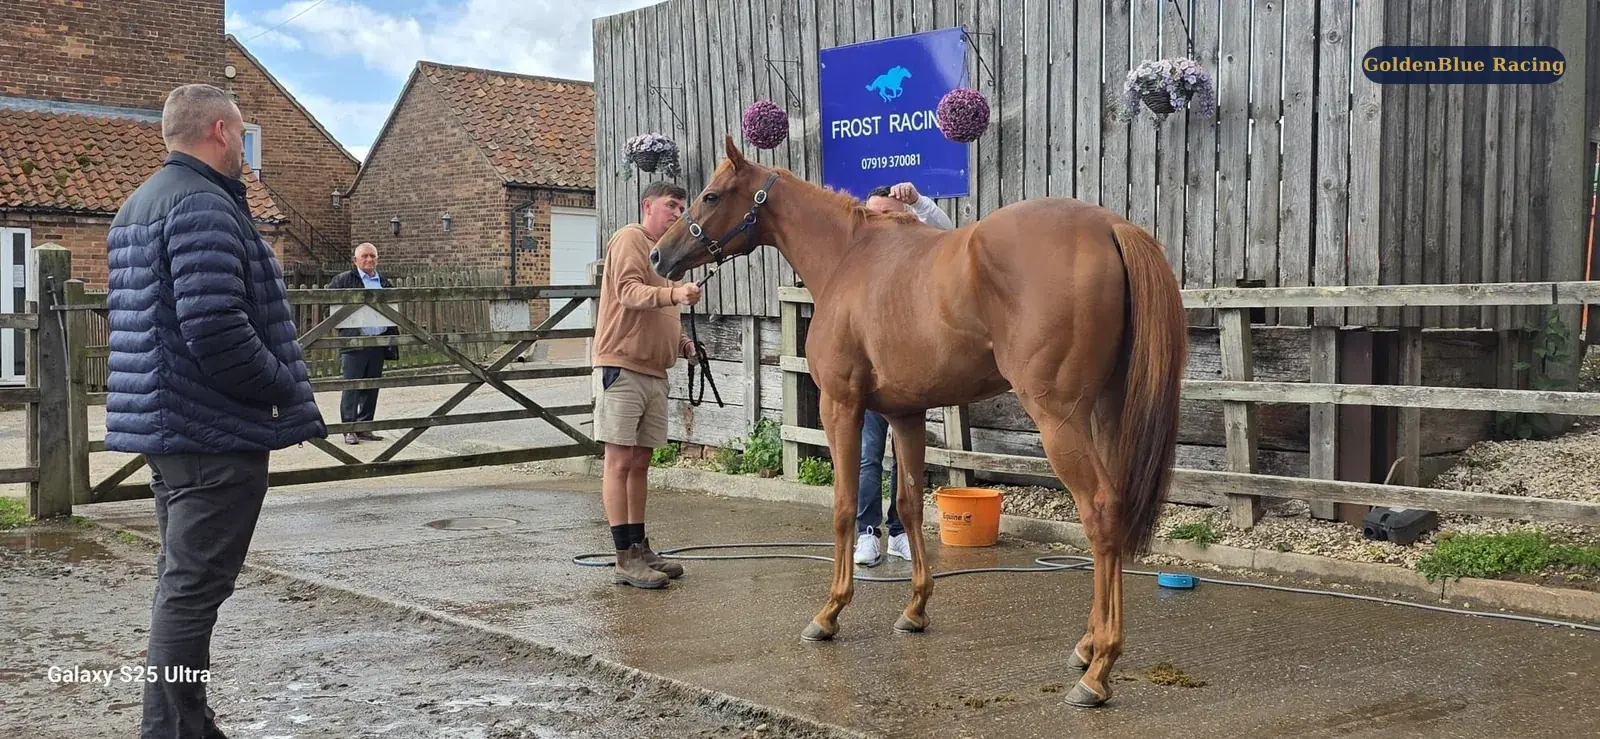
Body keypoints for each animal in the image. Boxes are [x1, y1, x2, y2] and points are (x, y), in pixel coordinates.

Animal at [649, 136, 1188, 708]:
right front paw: (915, 609)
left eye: (711, 195)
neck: (848, 257)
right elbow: (908, 506)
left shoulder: (840, 406)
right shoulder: (904, 414)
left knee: (1100, 512)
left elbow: (844, 507)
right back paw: (1086, 648)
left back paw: (1098, 669)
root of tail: (1110, 225)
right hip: (1103, 413)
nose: (660, 255)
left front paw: (829, 613)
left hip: (1059, 418)